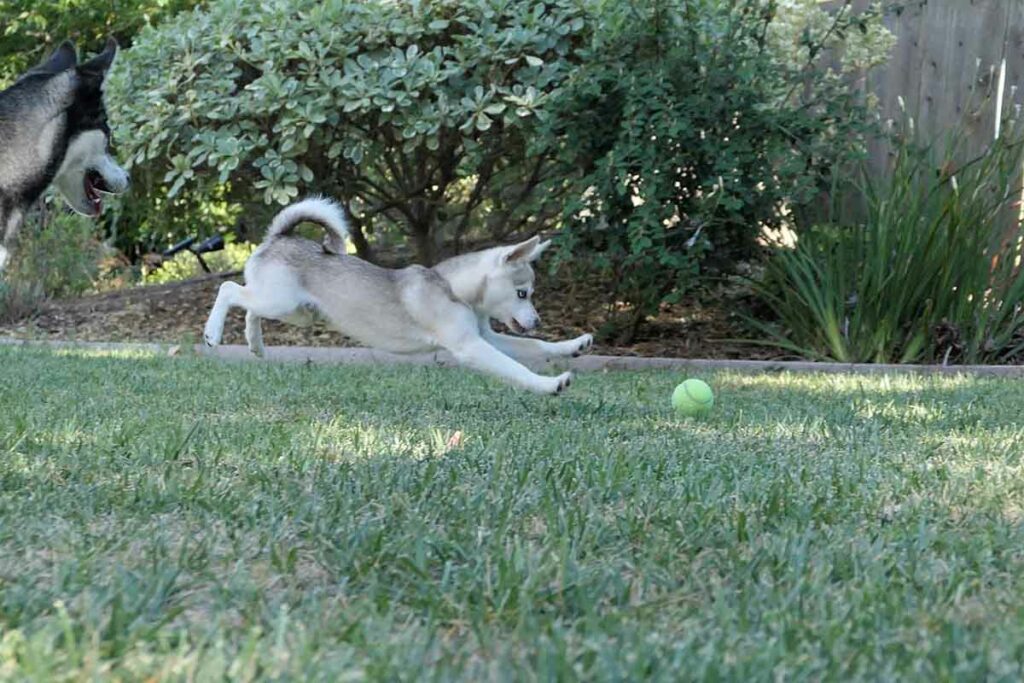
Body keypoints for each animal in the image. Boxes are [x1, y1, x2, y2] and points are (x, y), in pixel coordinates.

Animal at [202, 196, 598, 395]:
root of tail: (279, 237)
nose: (537, 319)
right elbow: (517, 369)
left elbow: (536, 347)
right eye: (522, 292)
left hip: (296, 311)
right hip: (280, 301)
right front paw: (549, 384)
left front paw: (572, 345)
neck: (452, 289)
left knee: (250, 306)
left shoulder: (487, 337)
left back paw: (255, 343)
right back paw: (212, 333)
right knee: (229, 290)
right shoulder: (471, 346)